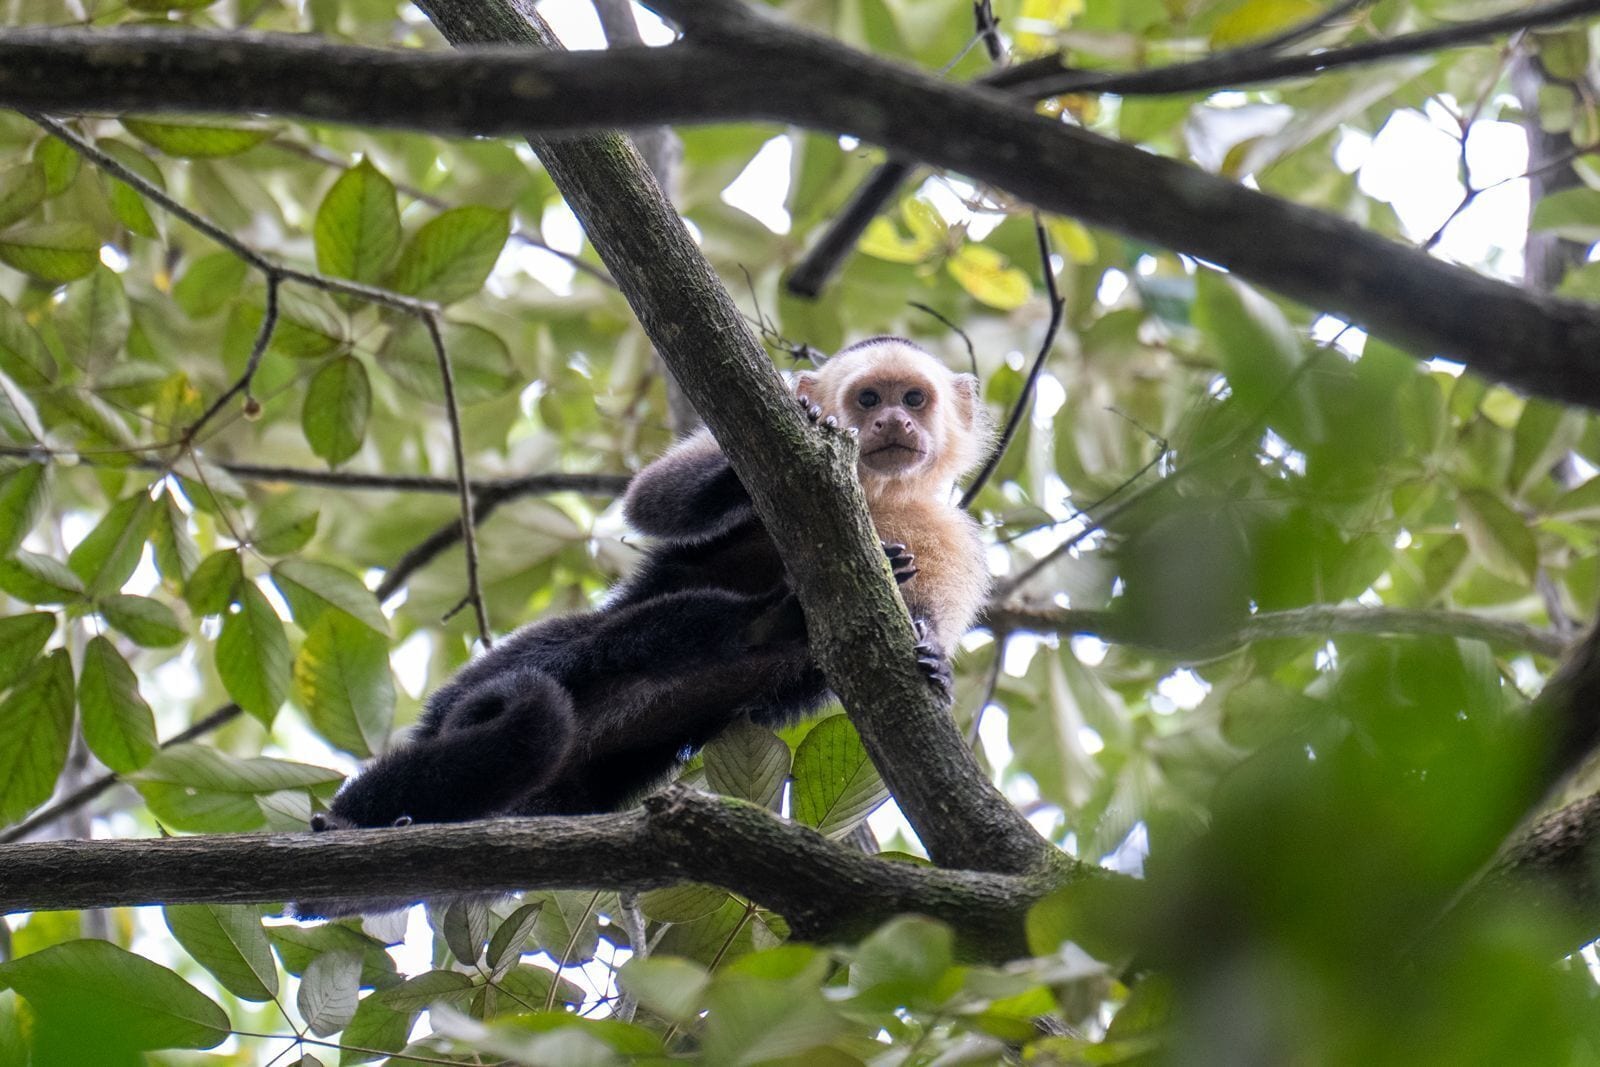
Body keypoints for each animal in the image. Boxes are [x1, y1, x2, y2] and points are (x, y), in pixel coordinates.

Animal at [295, 337, 988, 915]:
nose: (892, 422)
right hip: (502, 683)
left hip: (596, 776)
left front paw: (932, 655)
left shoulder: (947, 532)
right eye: (868, 399)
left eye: (914, 399)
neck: (873, 492)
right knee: (614, 637)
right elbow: (653, 500)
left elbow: (924, 618)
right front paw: (794, 433)